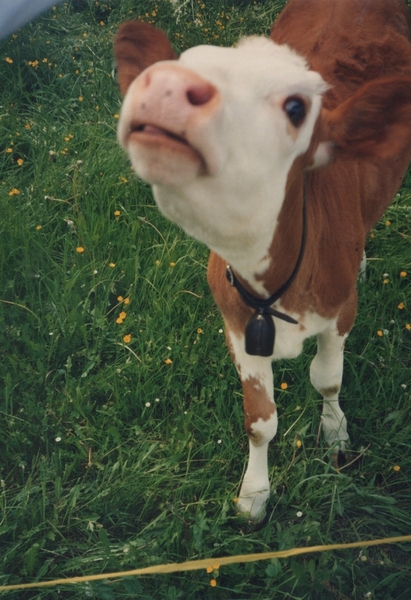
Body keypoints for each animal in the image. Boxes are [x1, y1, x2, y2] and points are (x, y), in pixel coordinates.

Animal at [114, 0, 411, 524]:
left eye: (296, 107)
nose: (164, 84)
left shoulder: (341, 312)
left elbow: (327, 380)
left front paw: (335, 432)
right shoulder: (236, 323)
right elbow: (259, 420)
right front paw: (254, 493)